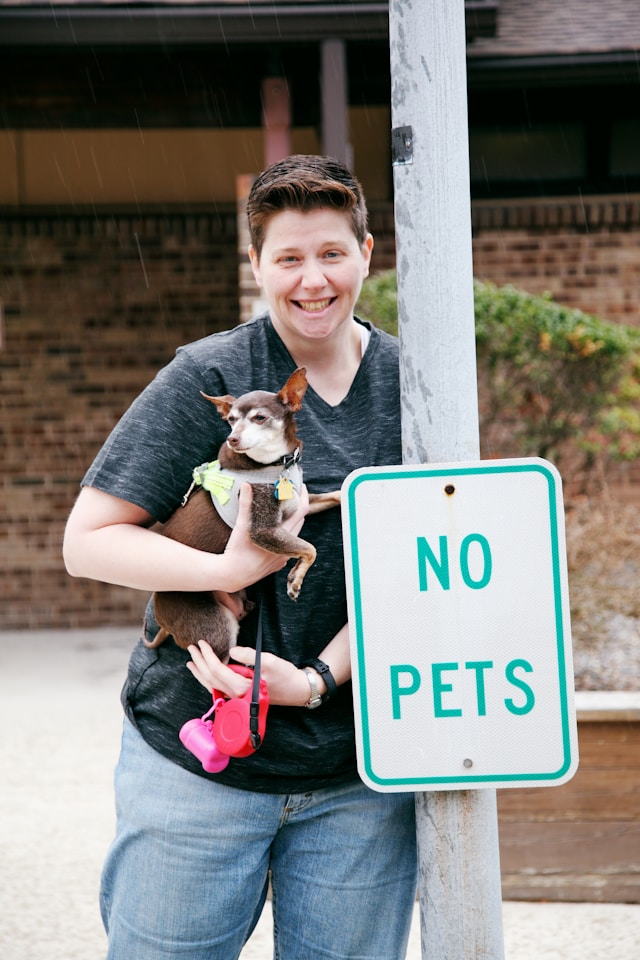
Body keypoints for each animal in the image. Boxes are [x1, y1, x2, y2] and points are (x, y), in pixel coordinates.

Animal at [146, 368, 340, 660]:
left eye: (260, 418)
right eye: (231, 420)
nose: (232, 438)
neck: (276, 465)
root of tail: (162, 623)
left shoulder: (302, 503)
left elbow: (334, 495)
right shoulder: (264, 530)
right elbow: (310, 548)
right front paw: (295, 579)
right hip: (216, 629)